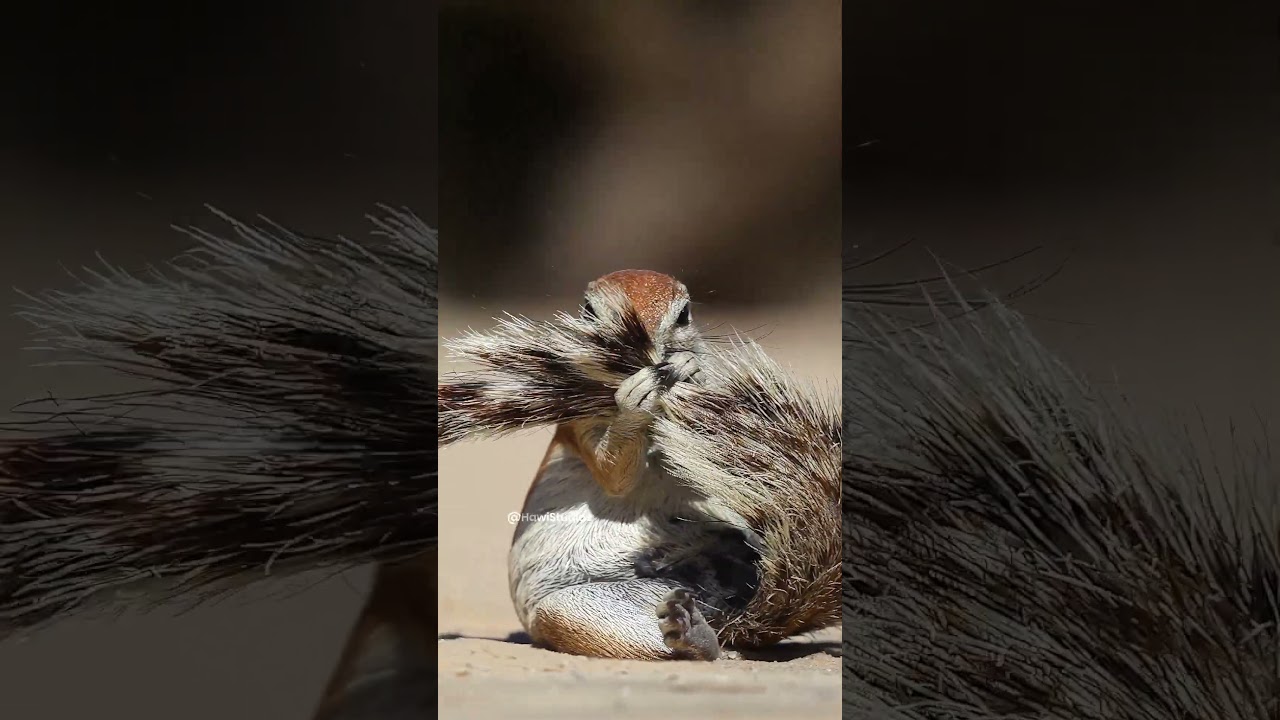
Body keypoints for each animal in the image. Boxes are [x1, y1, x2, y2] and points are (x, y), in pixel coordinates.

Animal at [439, 269, 841, 661]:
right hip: (578, 610)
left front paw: (686, 371)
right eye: (589, 310)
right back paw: (694, 634)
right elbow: (614, 473)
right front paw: (635, 402)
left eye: (684, 314)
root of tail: (739, 617)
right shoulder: (580, 425)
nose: (649, 353)